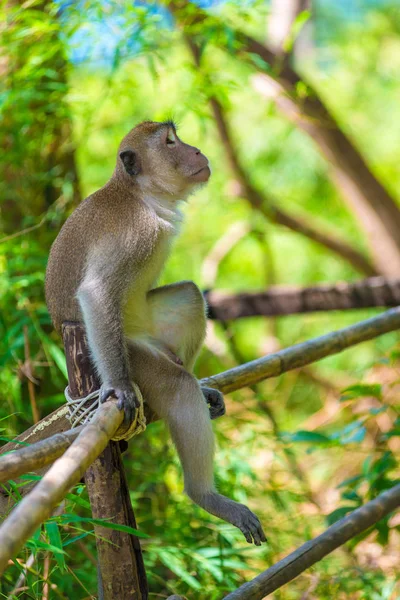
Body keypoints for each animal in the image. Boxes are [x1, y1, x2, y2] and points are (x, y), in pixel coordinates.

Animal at [44, 119, 266, 548]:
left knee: (190, 296)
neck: (143, 197)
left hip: (151, 328)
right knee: (176, 385)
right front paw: (119, 388)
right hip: (131, 353)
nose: (195, 150)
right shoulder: (135, 231)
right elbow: (95, 293)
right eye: (170, 142)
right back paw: (205, 495)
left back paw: (200, 384)